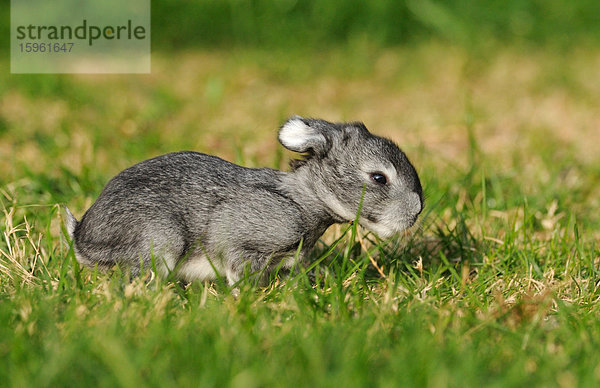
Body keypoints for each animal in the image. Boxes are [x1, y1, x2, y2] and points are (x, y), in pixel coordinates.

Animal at [64, 116, 422, 284]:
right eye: (379, 178)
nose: (417, 211)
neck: (302, 199)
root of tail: (81, 238)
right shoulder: (241, 244)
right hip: (161, 240)